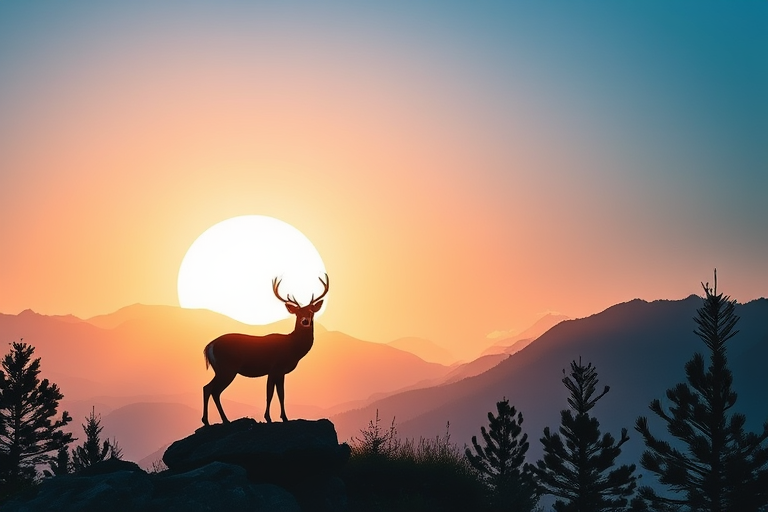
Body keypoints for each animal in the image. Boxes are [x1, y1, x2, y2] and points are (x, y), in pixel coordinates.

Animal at [201, 273, 329, 425]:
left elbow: (281, 394)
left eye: (311, 312)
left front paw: (284, 418)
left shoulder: (280, 372)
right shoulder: (275, 368)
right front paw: (269, 418)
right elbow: (270, 394)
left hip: (221, 369)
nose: (305, 321)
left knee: (209, 388)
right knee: (213, 389)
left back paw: (210, 421)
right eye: (297, 313)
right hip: (227, 368)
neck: (292, 347)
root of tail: (209, 346)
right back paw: (221, 420)